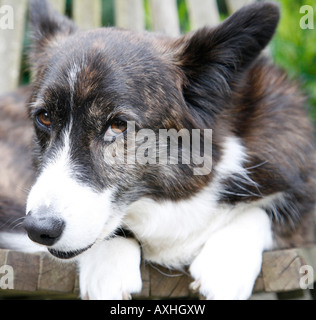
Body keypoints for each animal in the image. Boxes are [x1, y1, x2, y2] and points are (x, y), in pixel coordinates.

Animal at [0, 0, 314, 300]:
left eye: (118, 125)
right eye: (44, 117)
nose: (38, 229)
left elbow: (267, 210)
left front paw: (225, 264)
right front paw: (108, 265)